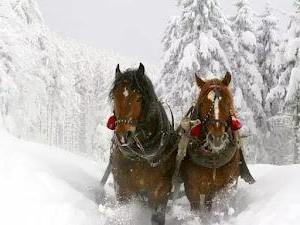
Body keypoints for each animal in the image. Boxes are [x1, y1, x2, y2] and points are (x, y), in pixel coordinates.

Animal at [108, 62, 177, 225]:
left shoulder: (160, 193)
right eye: (114, 96)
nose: (123, 135)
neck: (142, 156)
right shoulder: (123, 189)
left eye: (139, 98)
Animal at [179, 71, 254, 213]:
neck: (213, 156)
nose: (217, 137)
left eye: (227, 102)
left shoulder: (229, 184)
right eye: (202, 103)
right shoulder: (191, 189)